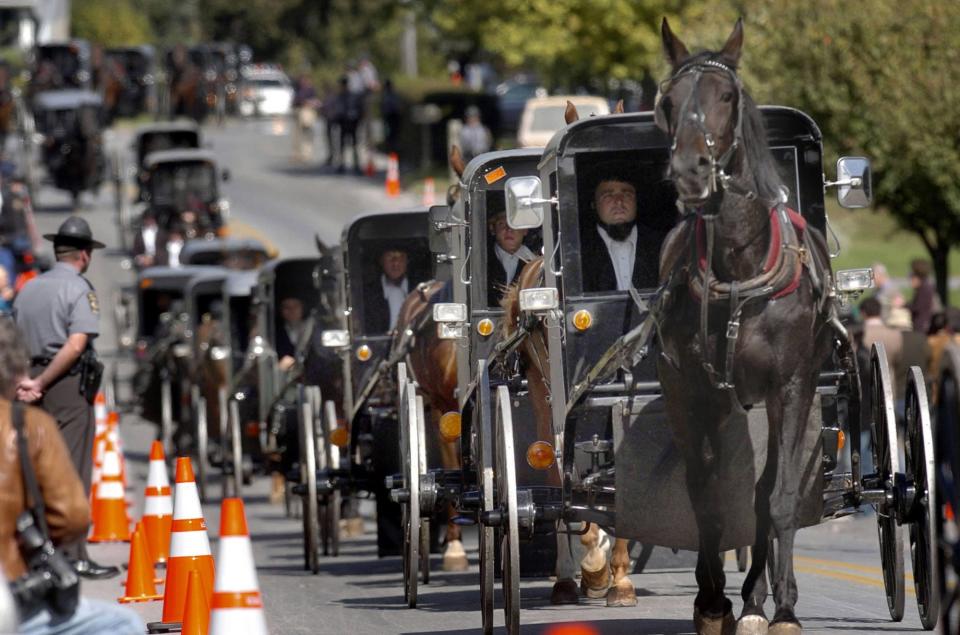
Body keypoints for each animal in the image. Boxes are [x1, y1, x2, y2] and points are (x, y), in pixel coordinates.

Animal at [652, 17, 832, 632]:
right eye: (669, 101)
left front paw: (783, 607)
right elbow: (707, 499)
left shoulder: (793, 385)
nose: (690, 171)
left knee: (763, 488)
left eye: (726, 96)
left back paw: (758, 597)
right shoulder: (698, 389)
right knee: (704, 483)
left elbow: (778, 498)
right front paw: (712, 601)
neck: (740, 266)